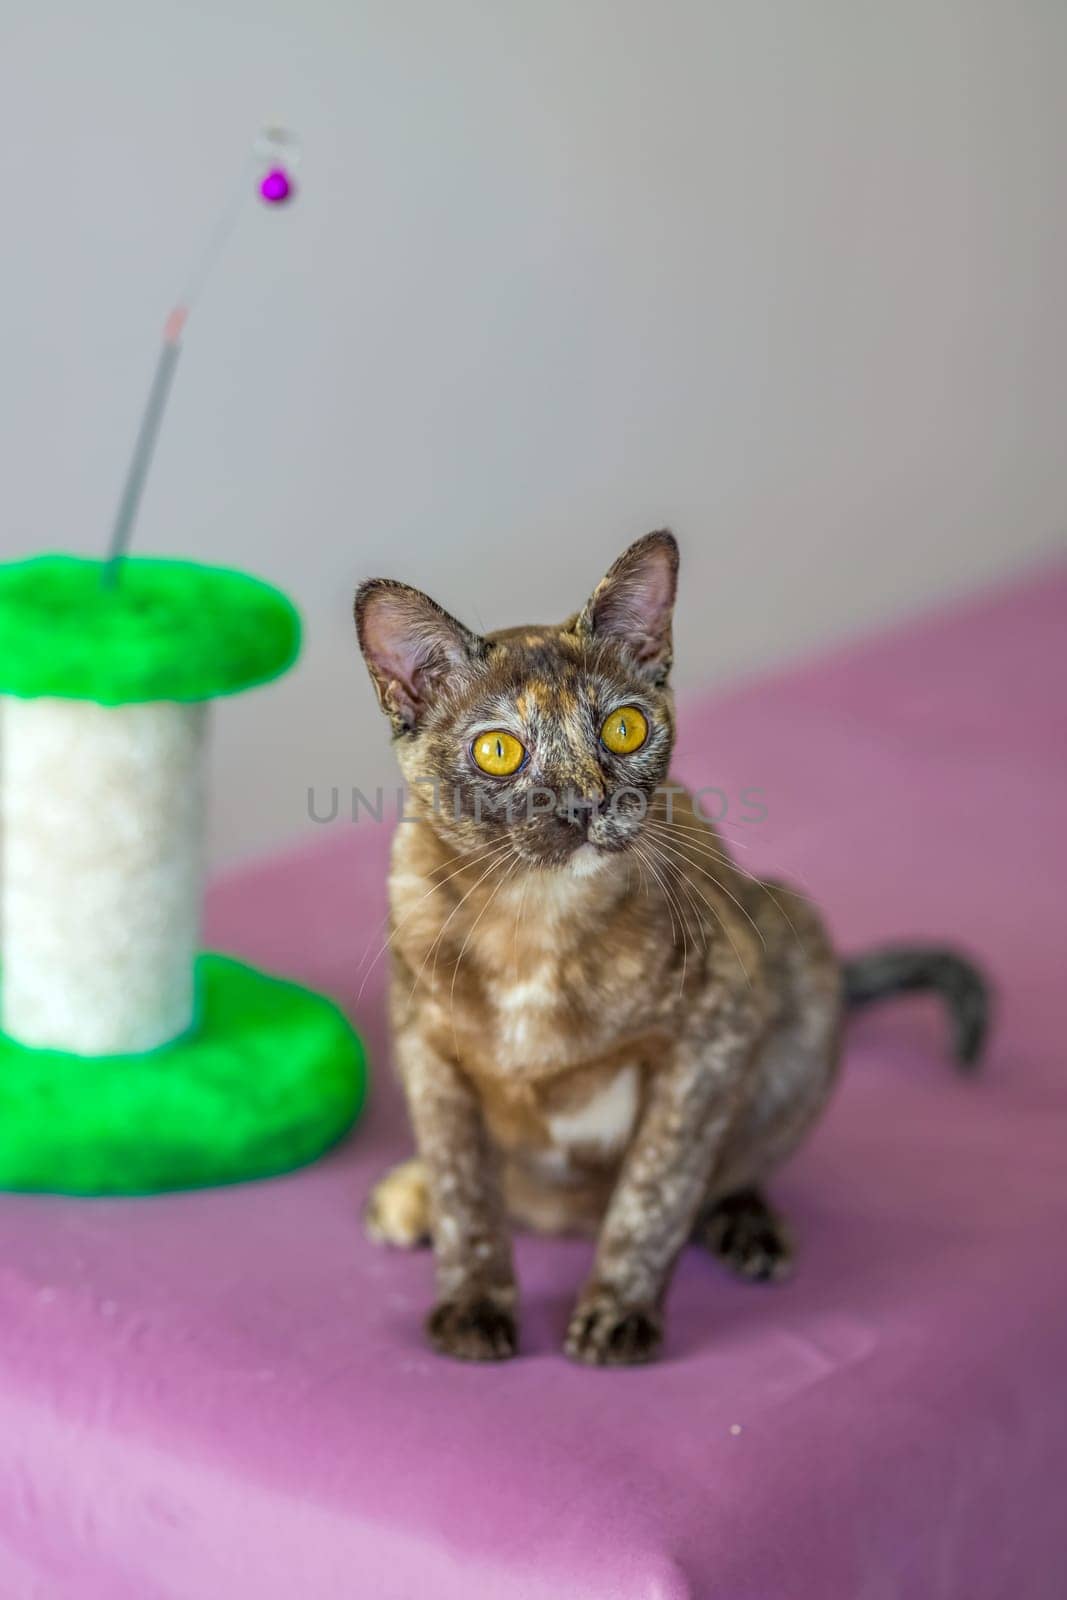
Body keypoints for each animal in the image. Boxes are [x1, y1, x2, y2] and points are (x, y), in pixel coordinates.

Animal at [355, 531, 991, 1369]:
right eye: (497, 751)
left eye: (622, 729)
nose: (585, 802)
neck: (534, 921)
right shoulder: (426, 1048)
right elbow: (468, 1193)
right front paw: (472, 1305)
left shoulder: (712, 1033)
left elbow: (654, 1190)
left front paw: (618, 1312)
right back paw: (411, 1194)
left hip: (793, 935)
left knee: (732, 1162)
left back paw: (744, 1226)